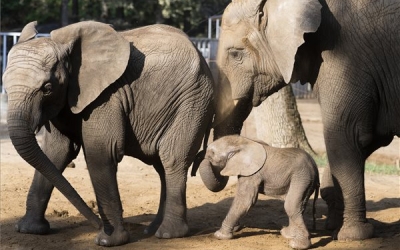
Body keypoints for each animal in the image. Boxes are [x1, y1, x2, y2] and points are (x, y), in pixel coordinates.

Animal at [3, 21, 216, 246]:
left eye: (47, 88)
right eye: (5, 87)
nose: (98, 224)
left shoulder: (107, 97)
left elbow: (101, 153)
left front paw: (109, 241)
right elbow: (56, 153)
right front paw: (29, 230)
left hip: (193, 101)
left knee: (173, 158)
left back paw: (168, 234)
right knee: (161, 166)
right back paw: (152, 230)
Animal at [203, 0, 400, 243]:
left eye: (235, 54)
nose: (240, 228)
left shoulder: (344, 58)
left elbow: (348, 135)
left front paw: (352, 236)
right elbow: (371, 139)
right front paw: (331, 224)